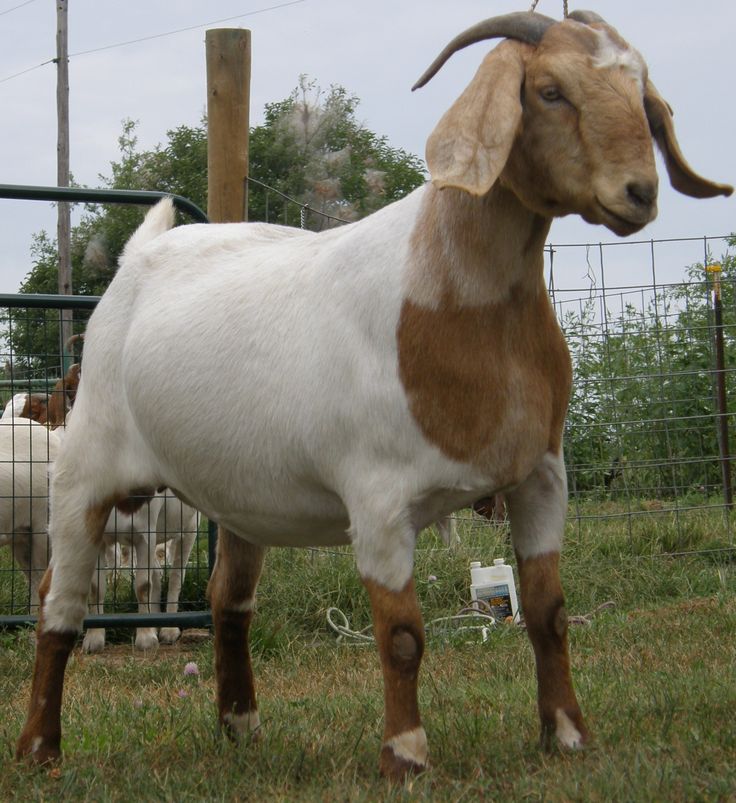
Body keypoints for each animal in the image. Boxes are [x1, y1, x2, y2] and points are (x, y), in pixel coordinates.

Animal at [15, 9, 732, 784]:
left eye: (641, 92)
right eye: (549, 91)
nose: (640, 192)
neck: (449, 297)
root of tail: (140, 254)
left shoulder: (542, 474)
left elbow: (549, 613)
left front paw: (567, 734)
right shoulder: (379, 499)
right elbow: (403, 636)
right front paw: (405, 754)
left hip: (239, 491)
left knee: (228, 599)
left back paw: (241, 727)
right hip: (87, 469)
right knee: (60, 603)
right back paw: (38, 749)